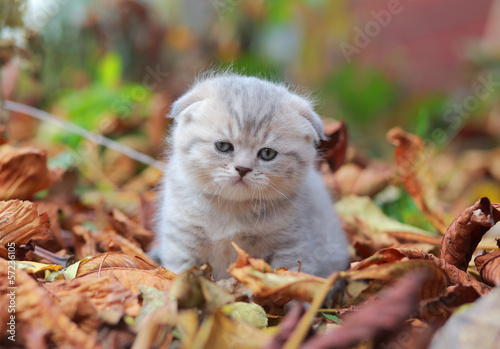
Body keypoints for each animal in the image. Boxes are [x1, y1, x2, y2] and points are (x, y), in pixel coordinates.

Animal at [154, 73, 350, 280]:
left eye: (267, 153)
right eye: (223, 146)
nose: (243, 168)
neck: (231, 210)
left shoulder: (293, 246)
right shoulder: (181, 242)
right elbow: (178, 275)